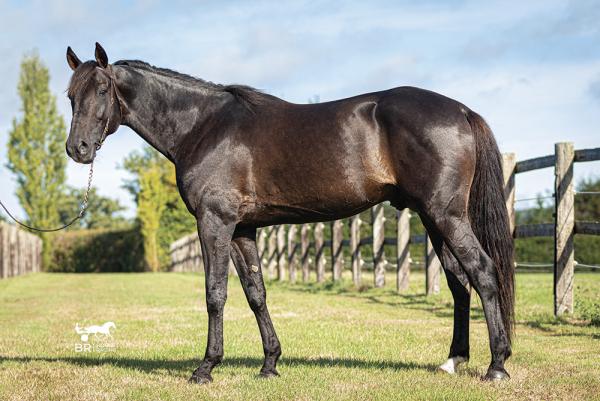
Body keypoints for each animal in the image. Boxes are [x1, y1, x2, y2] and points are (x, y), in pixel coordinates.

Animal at [65, 43, 516, 382]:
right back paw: (453, 360)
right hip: (432, 218)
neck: (203, 127)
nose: (77, 149)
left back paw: (496, 366)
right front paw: (270, 364)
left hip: (446, 216)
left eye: (102, 90)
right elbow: (256, 293)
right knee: (459, 283)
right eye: (71, 96)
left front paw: (205, 368)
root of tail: (462, 112)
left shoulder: (215, 222)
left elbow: (215, 293)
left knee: (483, 272)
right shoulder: (242, 229)